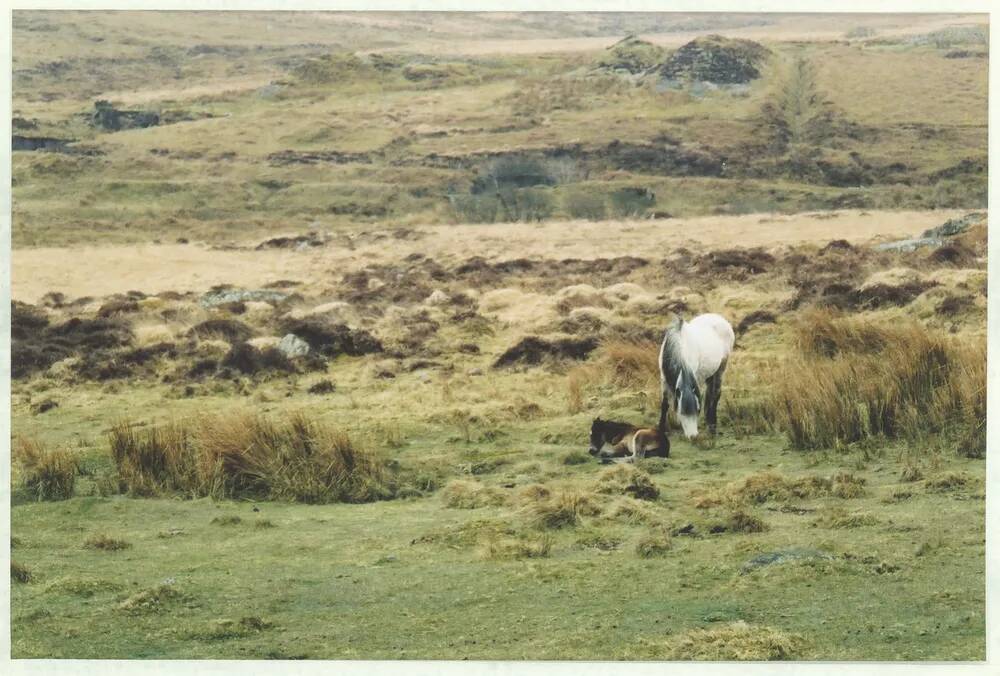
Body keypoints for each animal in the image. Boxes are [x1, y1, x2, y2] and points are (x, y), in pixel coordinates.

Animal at [656, 312, 736, 440]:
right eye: (681, 412)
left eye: (697, 410)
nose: (693, 436)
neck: (680, 345)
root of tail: (718, 317)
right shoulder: (664, 379)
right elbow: (665, 405)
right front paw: (661, 429)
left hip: (721, 369)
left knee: (716, 395)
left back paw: (712, 426)